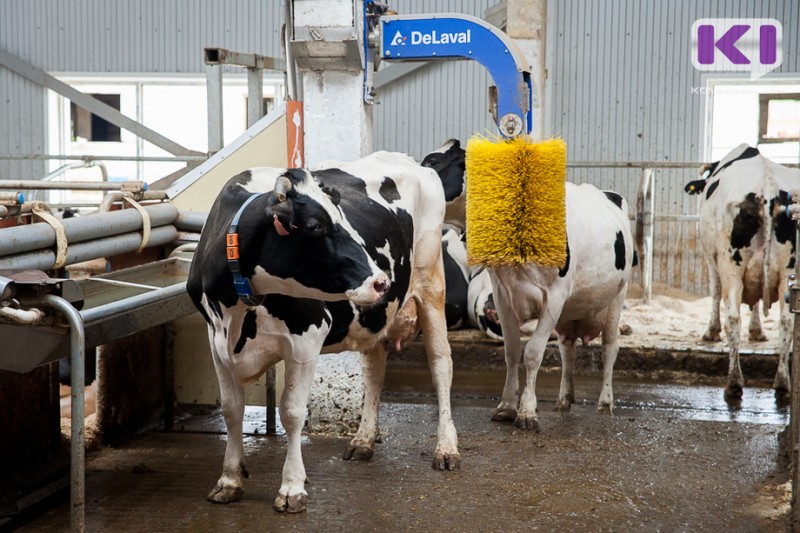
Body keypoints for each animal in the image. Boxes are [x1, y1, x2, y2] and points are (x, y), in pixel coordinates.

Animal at [187, 151, 460, 512]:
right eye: (315, 226)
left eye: (343, 217)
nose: (381, 281)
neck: (237, 310)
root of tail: (411, 161)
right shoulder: (215, 340)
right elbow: (232, 410)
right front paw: (229, 480)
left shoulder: (307, 338)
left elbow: (291, 412)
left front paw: (292, 487)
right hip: (374, 315)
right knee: (374, 368)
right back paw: (363, 439)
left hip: (431, 284)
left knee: (441, 364)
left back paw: (447, 448)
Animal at [680, 143, 800, 402]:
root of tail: (768, 187)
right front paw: (756, 331)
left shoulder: (712, 259)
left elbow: (715, 291)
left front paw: (711, 332)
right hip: (787, 270)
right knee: (786, 321)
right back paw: (782, 384)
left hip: (731, 268)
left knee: (733, 319)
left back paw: (734, 383)